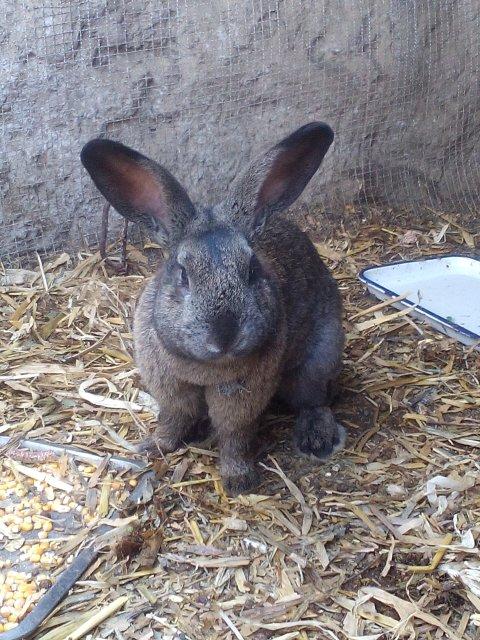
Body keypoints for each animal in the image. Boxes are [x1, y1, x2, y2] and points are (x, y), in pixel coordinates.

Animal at [80, 122, 345, 496]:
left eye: (251, 270)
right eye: (182, 273)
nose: (225, 336)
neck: (205, 366)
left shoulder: (241, 395)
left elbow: (235, 435)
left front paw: (238, 480)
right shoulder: (170, 385)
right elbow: (174, 418)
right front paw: (154, 447)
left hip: (319, 357)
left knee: (314, 400)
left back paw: (316, 439)